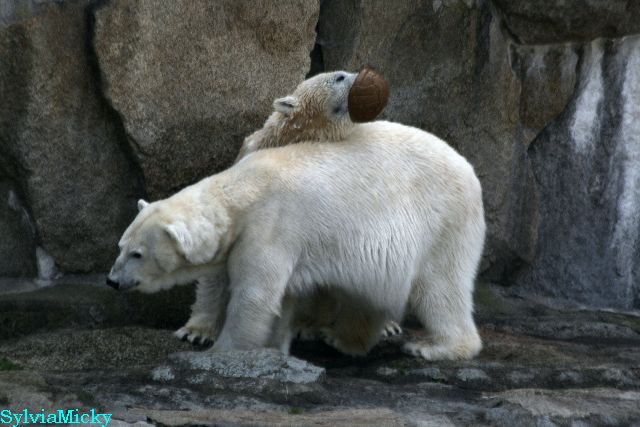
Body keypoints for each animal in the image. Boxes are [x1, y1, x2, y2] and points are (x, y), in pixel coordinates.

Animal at [107, 119, 486, 361]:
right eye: (121, 247)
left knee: (440, 287)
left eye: (138, 254)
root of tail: (469, 170)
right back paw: (342, 339)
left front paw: (224, 352)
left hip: (441, 223)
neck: (245, 188)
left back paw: (436, 348)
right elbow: (279, 298)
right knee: (369, 293)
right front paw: (275, 347)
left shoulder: (271, 225)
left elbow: (255, 295)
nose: (112, 280)